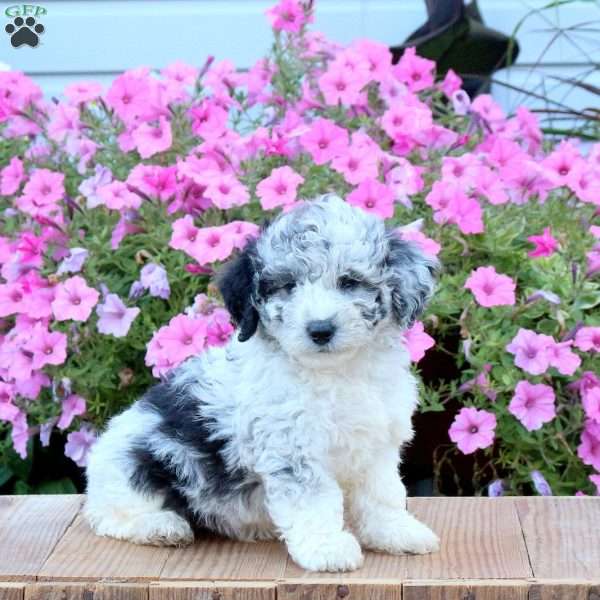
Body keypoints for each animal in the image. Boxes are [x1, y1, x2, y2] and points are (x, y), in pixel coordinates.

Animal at [83, 195, 440, 576]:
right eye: (288, 285)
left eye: (349, 282)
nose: (320, 329)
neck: (336, 372)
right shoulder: (293, 449)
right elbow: (314, 501)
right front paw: (327, 548)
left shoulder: (377, 444)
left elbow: (383, 493)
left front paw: (396, 532)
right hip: (132, 465)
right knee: (107, 515)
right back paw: (161, 526)